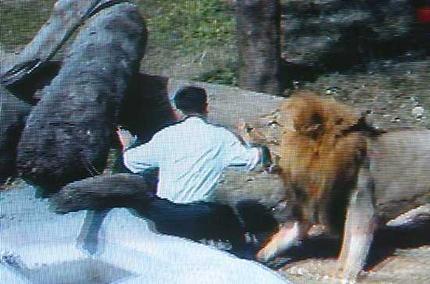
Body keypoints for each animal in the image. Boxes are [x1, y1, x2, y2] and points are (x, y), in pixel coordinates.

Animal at [255, 92, 430, 282]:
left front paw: (346, 274)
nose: (246, 127)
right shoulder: (310, 206)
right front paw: (260, 256)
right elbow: (285, 235)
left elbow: (354, 247)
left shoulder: (362, 208)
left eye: (275, 123)